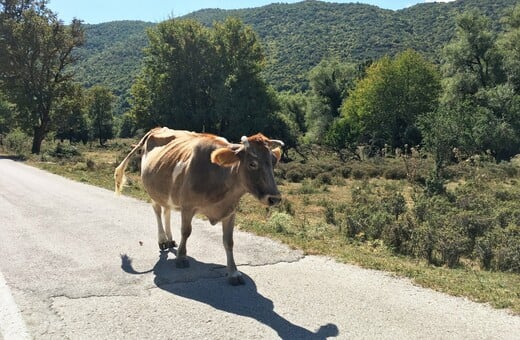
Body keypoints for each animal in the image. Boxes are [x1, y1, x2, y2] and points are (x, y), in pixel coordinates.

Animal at [115, 127, 284, 284]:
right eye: (252, 163)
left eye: (273, 163)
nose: (274, 198)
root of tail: (157, 128)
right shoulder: (187, 206)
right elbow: (186, 231)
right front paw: (181, 257)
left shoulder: (230, 211)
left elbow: (229, 242)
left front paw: (233, 273)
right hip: (153, 190)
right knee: (157, 211)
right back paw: (163, 240)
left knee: (167, 211)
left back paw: (170, 239)